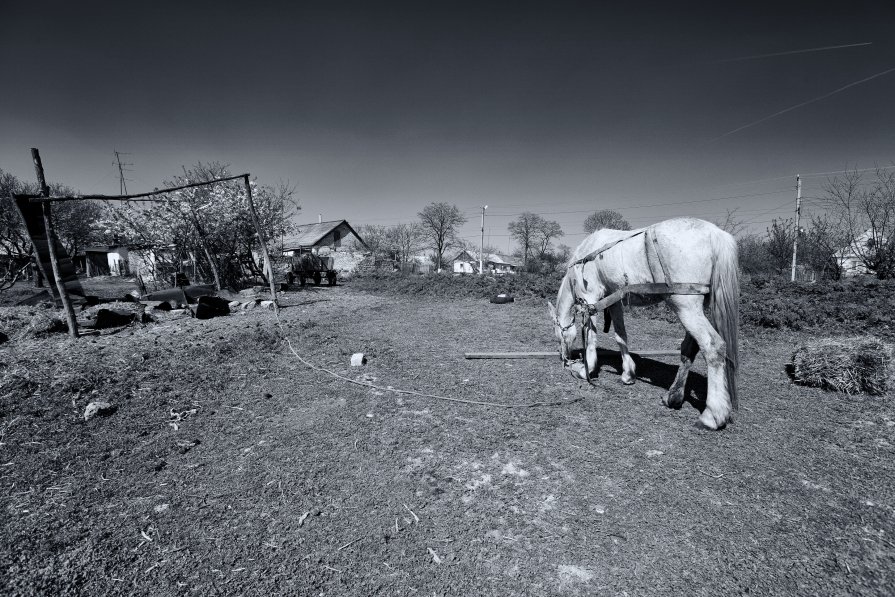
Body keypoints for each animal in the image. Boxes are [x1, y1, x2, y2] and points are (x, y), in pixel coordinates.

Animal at [548, 217, 740, 430]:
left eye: (558, 334)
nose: (565, 357)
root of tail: (714, 233)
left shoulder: (591, 298)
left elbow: (590, 338)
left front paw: (586, 369)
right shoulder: (614, 300)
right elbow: (620, 335)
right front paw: (628, 373)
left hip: (685, 305)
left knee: (713, 346)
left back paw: (712, 415)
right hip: (696, 308)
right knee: (689, 348)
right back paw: (673, 397)